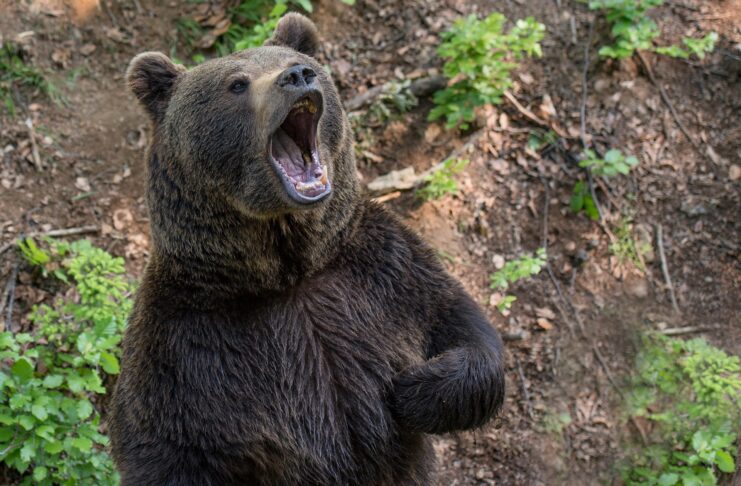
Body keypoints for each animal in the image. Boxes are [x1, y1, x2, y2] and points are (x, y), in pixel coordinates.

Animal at [109, 13, 505, 486]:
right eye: (237, 83)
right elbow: (164, 450)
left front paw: (413, 391)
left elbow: (463, 327)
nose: (297, 76)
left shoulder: (385, 273)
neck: (290, 271)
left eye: (297, 61)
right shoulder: (184, 350)